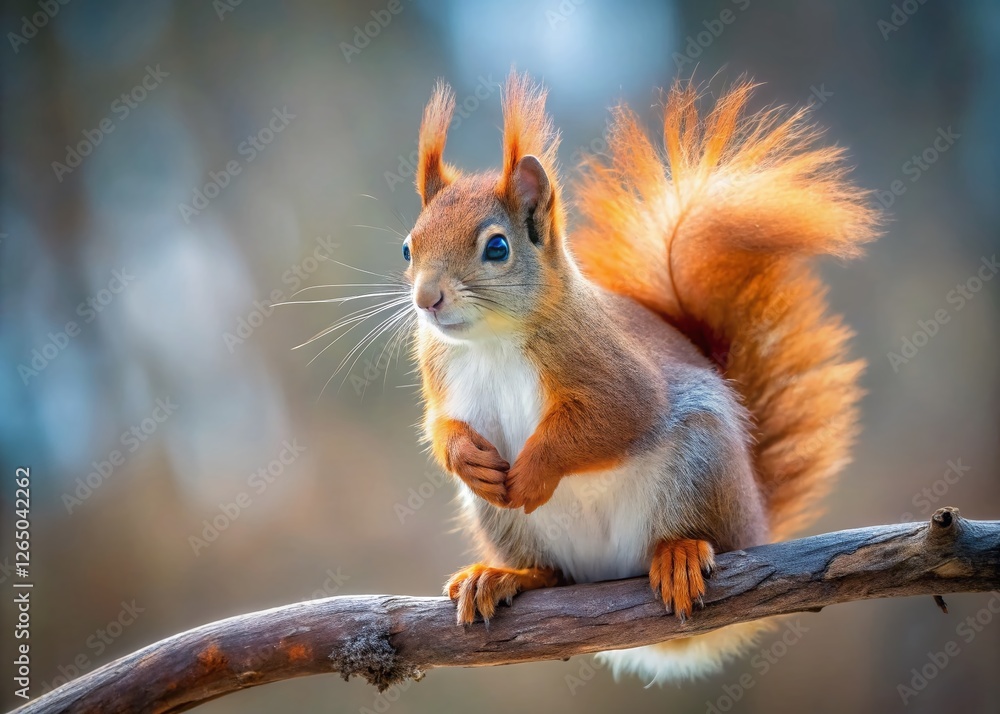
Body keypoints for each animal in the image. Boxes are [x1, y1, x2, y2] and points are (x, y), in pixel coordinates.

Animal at [400, 71, 879, 682]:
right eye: (408, 247)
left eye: (498, 247)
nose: (426, 300)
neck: (491, 340)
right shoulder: (441, 370)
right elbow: (441, 426)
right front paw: (466, 457)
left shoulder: (614, 370)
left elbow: (617, 417)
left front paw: (535, 470)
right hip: (504, 521)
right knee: (552, 573)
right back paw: (506, 576)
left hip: (701, 462)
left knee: (703, 533)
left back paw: (678, 554)